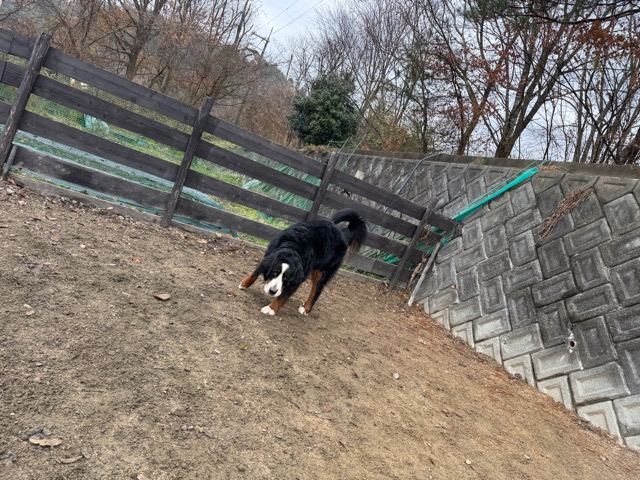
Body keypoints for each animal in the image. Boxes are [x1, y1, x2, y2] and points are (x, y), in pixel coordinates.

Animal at [238, 209, 367, 316]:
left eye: (286, 278)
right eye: (274, 273)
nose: (272, 291)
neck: (293, 247)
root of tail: (344, 233)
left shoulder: (297, 279)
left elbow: (283, 296)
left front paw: (271, 308)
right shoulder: (269, 256)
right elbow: (254, 274)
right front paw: (244, 284)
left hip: (322, 273)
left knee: (316, 291)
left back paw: (306, 308)